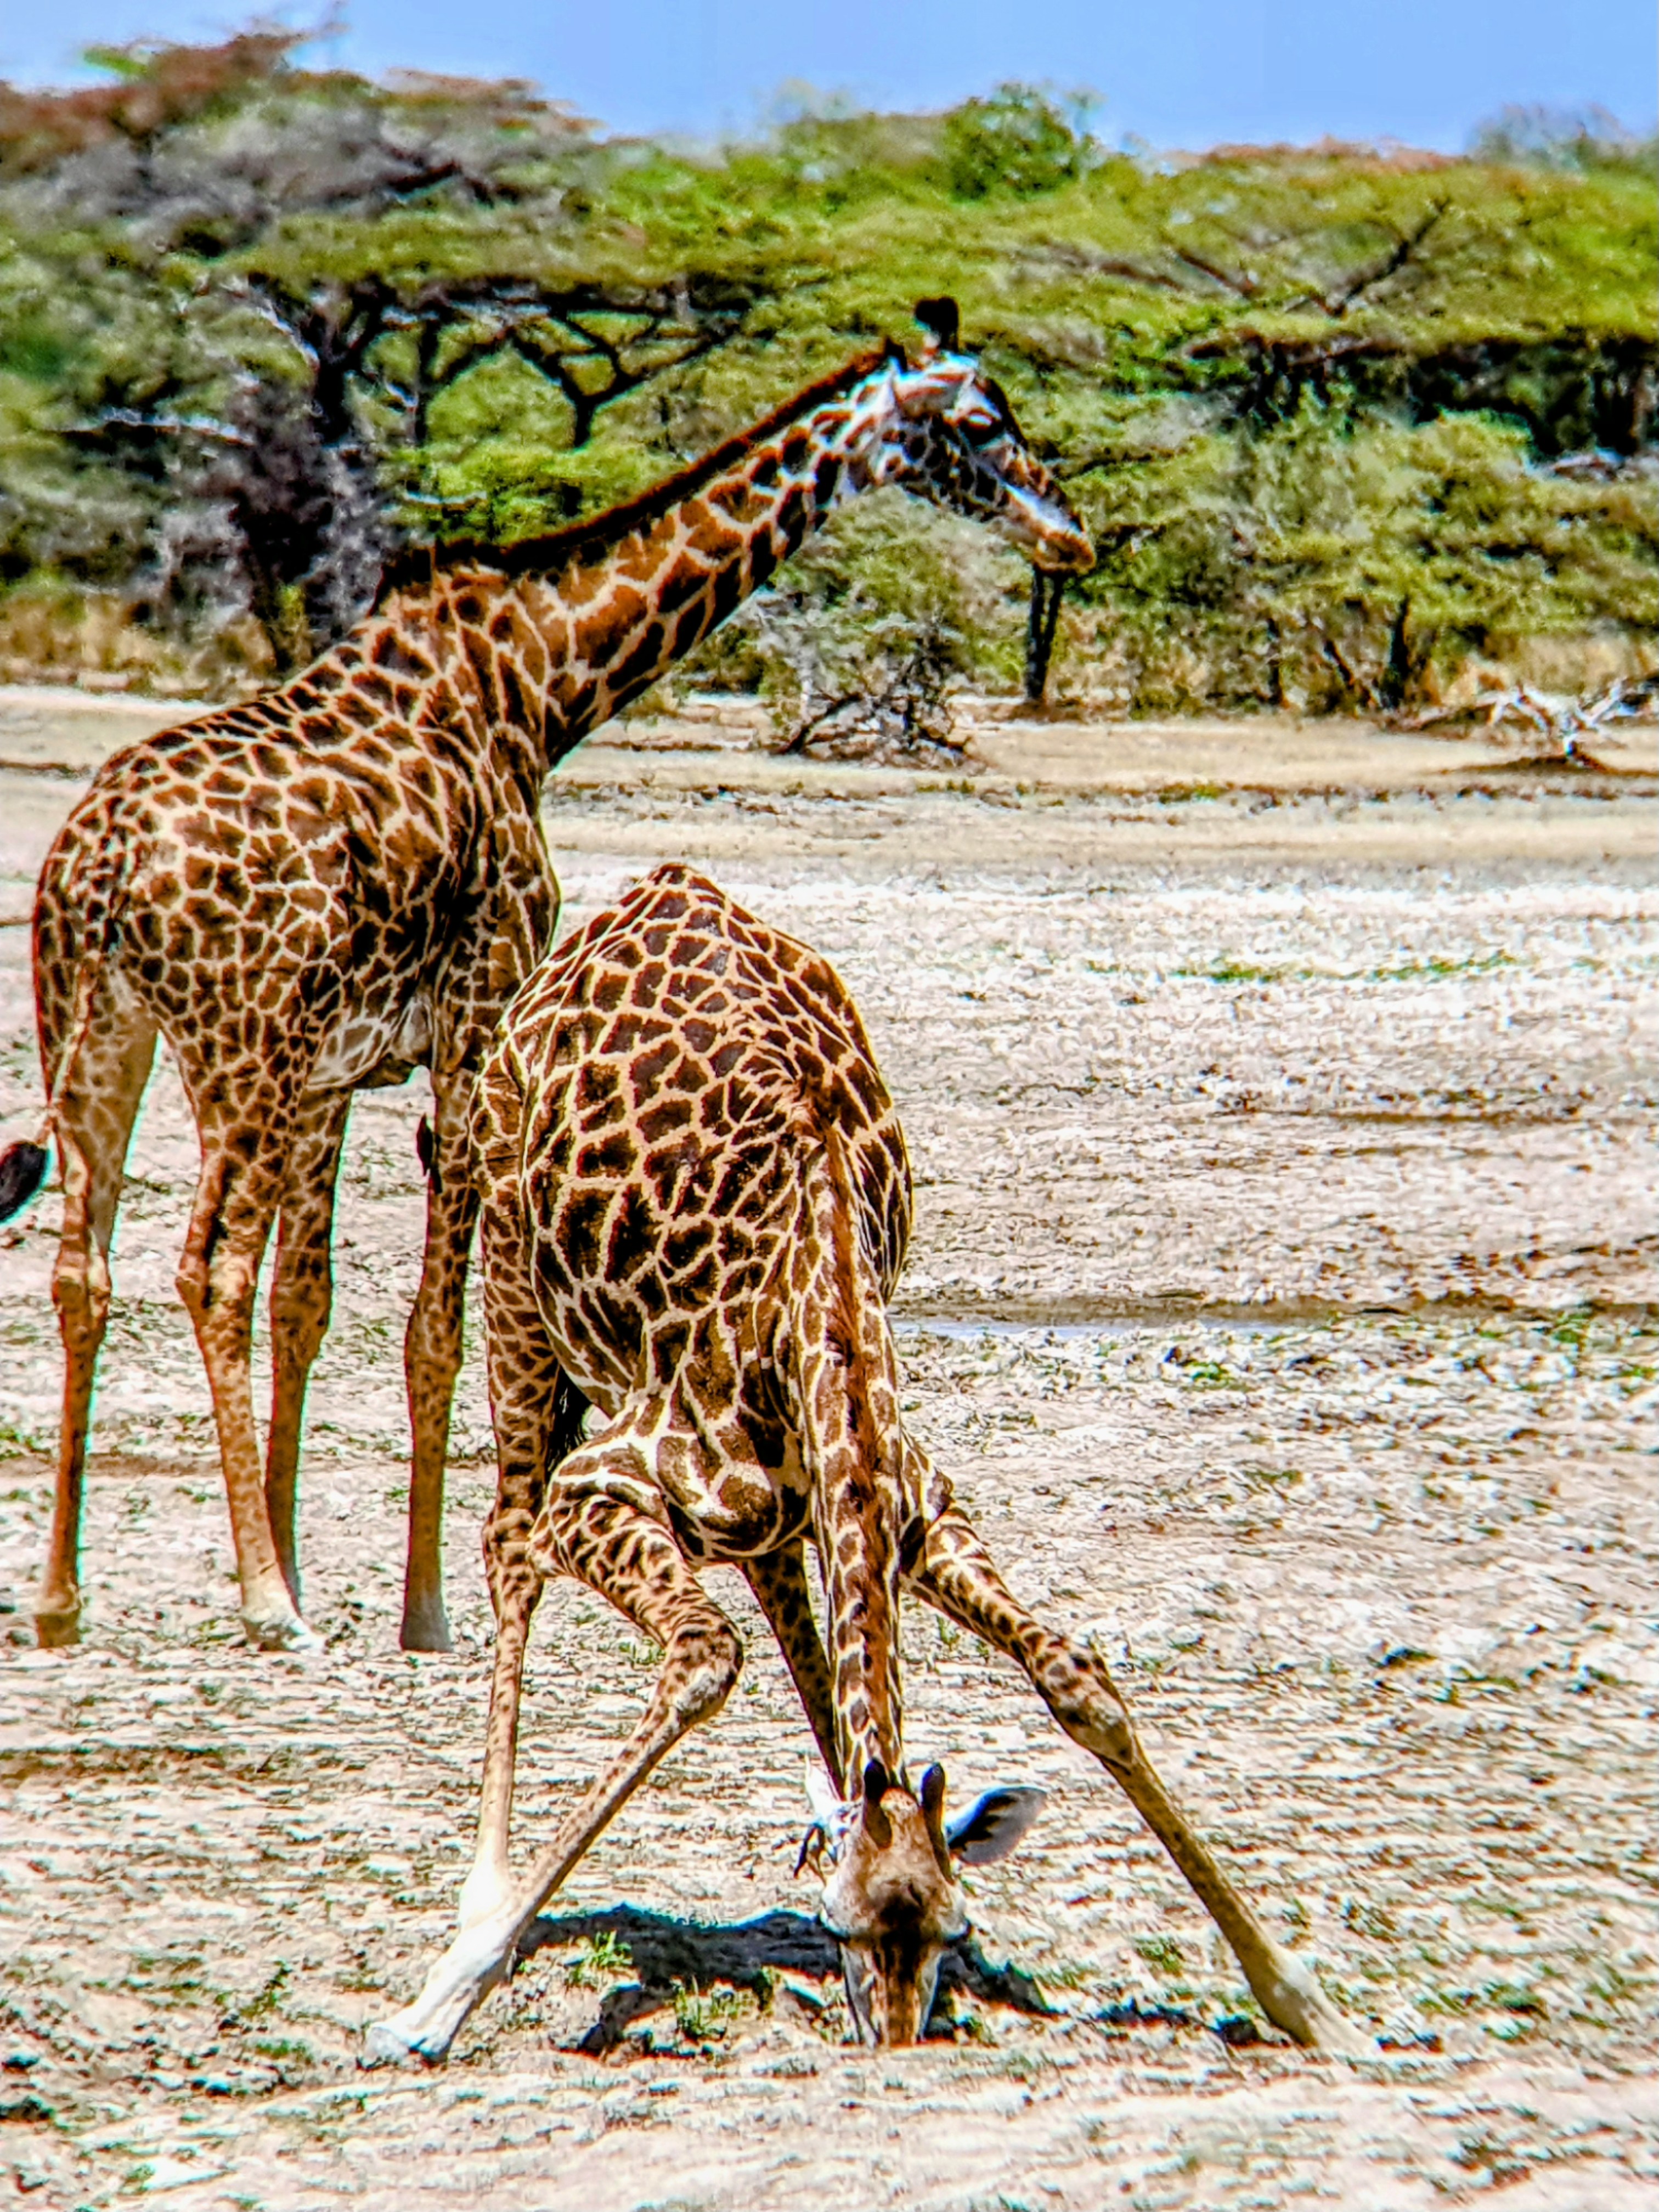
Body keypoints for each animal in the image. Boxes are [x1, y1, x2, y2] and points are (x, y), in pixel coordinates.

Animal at [0, 300, 1093, 1656]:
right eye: (983, 422)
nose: (1069, 534)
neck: (542, 679)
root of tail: (97, 863)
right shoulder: (475, 1021)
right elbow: (431, 1327)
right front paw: (416, 1610)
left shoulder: (336, 1071)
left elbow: (311, 1303)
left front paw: (306, 1559)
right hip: (233, 1049)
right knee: (206, 1268)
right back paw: (257, 1606)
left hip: (101, 1033)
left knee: (84, 1264)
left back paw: (62, 1599)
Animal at [365, 866, 1368, 2062]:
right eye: (841, 1930)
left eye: (948, 1927)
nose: (891, 2050)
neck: (823, 1287)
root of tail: (657, 885)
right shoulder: (603, 1487)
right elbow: (703, 1658)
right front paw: (437, 2001)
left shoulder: (913, 1509)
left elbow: (1077, 1681)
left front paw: (1305, 2001)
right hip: (515, 1264)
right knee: (510, 1540)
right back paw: (479, 1909)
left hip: (767, 1503)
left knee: (783, 1600)